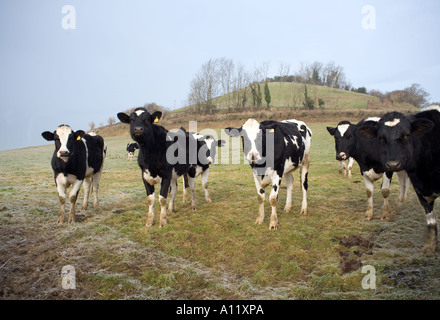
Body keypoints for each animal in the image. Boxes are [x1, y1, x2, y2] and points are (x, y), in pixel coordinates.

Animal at [358, 107, 440, 255]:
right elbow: (431, 219)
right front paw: (429, 247)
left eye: (407, 134)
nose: (393, 164)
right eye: (381, 138)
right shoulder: (419, 188)